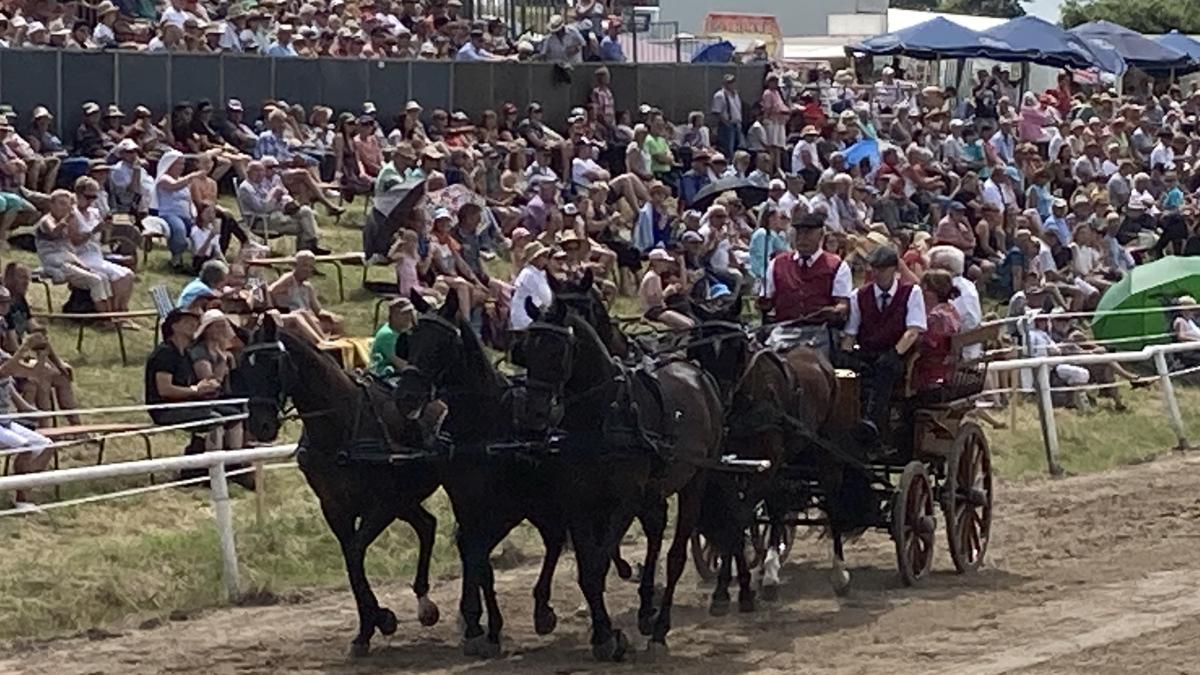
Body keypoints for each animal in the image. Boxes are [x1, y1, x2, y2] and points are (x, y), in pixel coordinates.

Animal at [231, 317, 444, 658]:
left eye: (273, 363)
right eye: (241, 367)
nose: (260, 426)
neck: (342, 426)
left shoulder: (382, 505)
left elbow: (355, 553)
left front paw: (381, 618)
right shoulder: (335, 507)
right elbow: (350, 561)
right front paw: (367, 629)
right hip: (406, 500)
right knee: (427, 525)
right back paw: (425, 603)